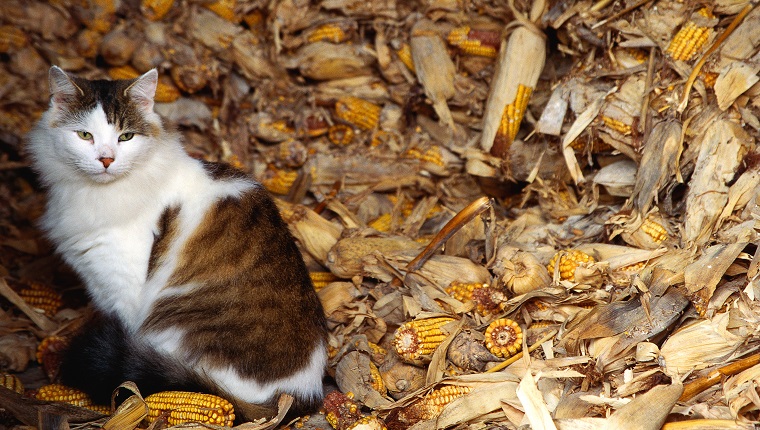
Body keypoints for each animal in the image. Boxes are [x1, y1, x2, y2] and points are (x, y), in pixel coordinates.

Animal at [26, 67, 330, 416]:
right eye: (85, 135)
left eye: (126, 137)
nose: (106, 159)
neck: (97, 194)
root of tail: (296, 394)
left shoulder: (126, 291)